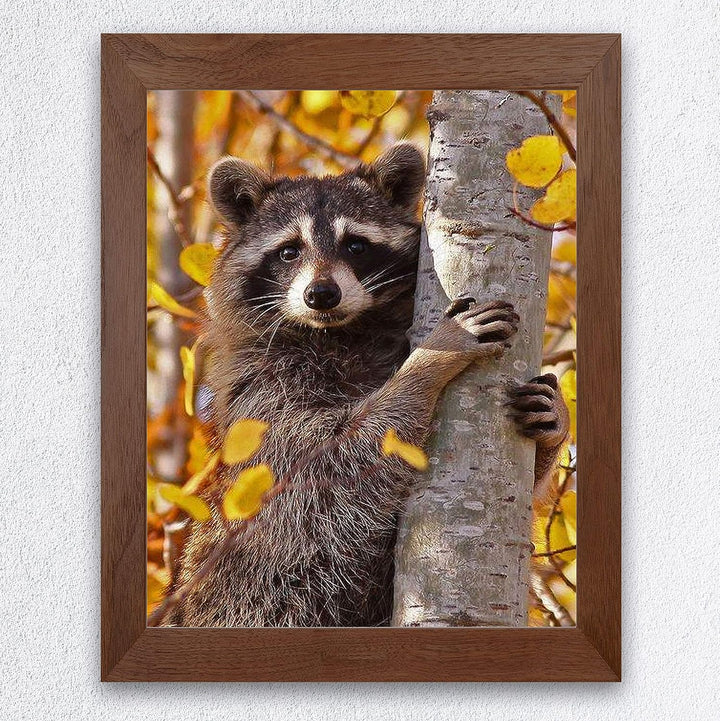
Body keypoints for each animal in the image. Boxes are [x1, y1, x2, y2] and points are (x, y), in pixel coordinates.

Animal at [165, 143, 569, 628]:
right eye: (288, 251)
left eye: (355, 245)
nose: (321, 294)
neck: (341, 332)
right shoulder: (262, 399)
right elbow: (331, 461)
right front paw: (430, 359)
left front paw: (555, 426)